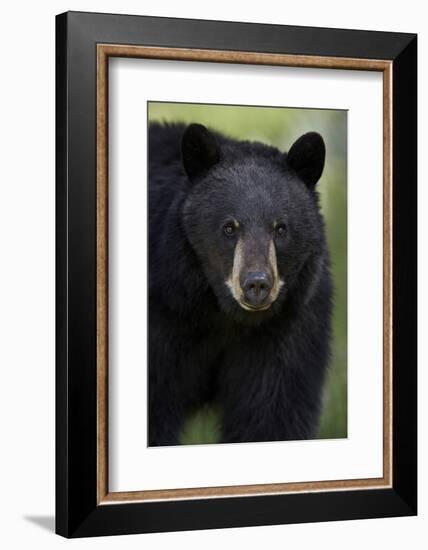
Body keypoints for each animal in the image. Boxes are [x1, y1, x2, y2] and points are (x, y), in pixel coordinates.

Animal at [149, 122, 332, 448]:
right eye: (229, 227)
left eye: (280, 228)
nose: (257, 284)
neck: (223, 315)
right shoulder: (164, 310)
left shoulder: (291, 324)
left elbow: (273, 412)